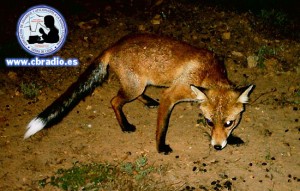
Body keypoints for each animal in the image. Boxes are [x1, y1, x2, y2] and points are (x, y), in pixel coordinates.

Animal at [24, 34, 253, 154]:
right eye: (208, 121)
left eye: (229, 123)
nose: (217, 147)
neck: (207, 72)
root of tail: (114, 45)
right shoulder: (170, 95)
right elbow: (162, 127)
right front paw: (160, 147)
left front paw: (231, 139)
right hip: (134, 87)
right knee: (114, 101)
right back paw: (125, 125)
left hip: (139, 85)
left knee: (131, 96)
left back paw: (148, 101)